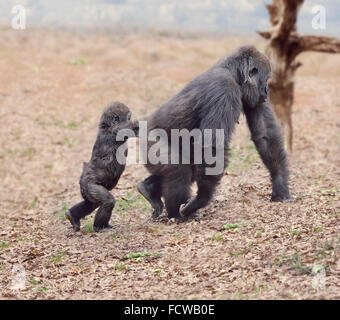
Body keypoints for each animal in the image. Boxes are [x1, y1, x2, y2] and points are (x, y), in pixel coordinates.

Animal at [66, 101, 138, 231]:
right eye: (129, 117)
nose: (130, 118)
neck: (106, 126)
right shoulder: (119, 129)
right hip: (89, 185)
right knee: (107, 202)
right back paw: (100, 227)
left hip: (86, 190)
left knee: (91, 204)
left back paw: (72, 217)